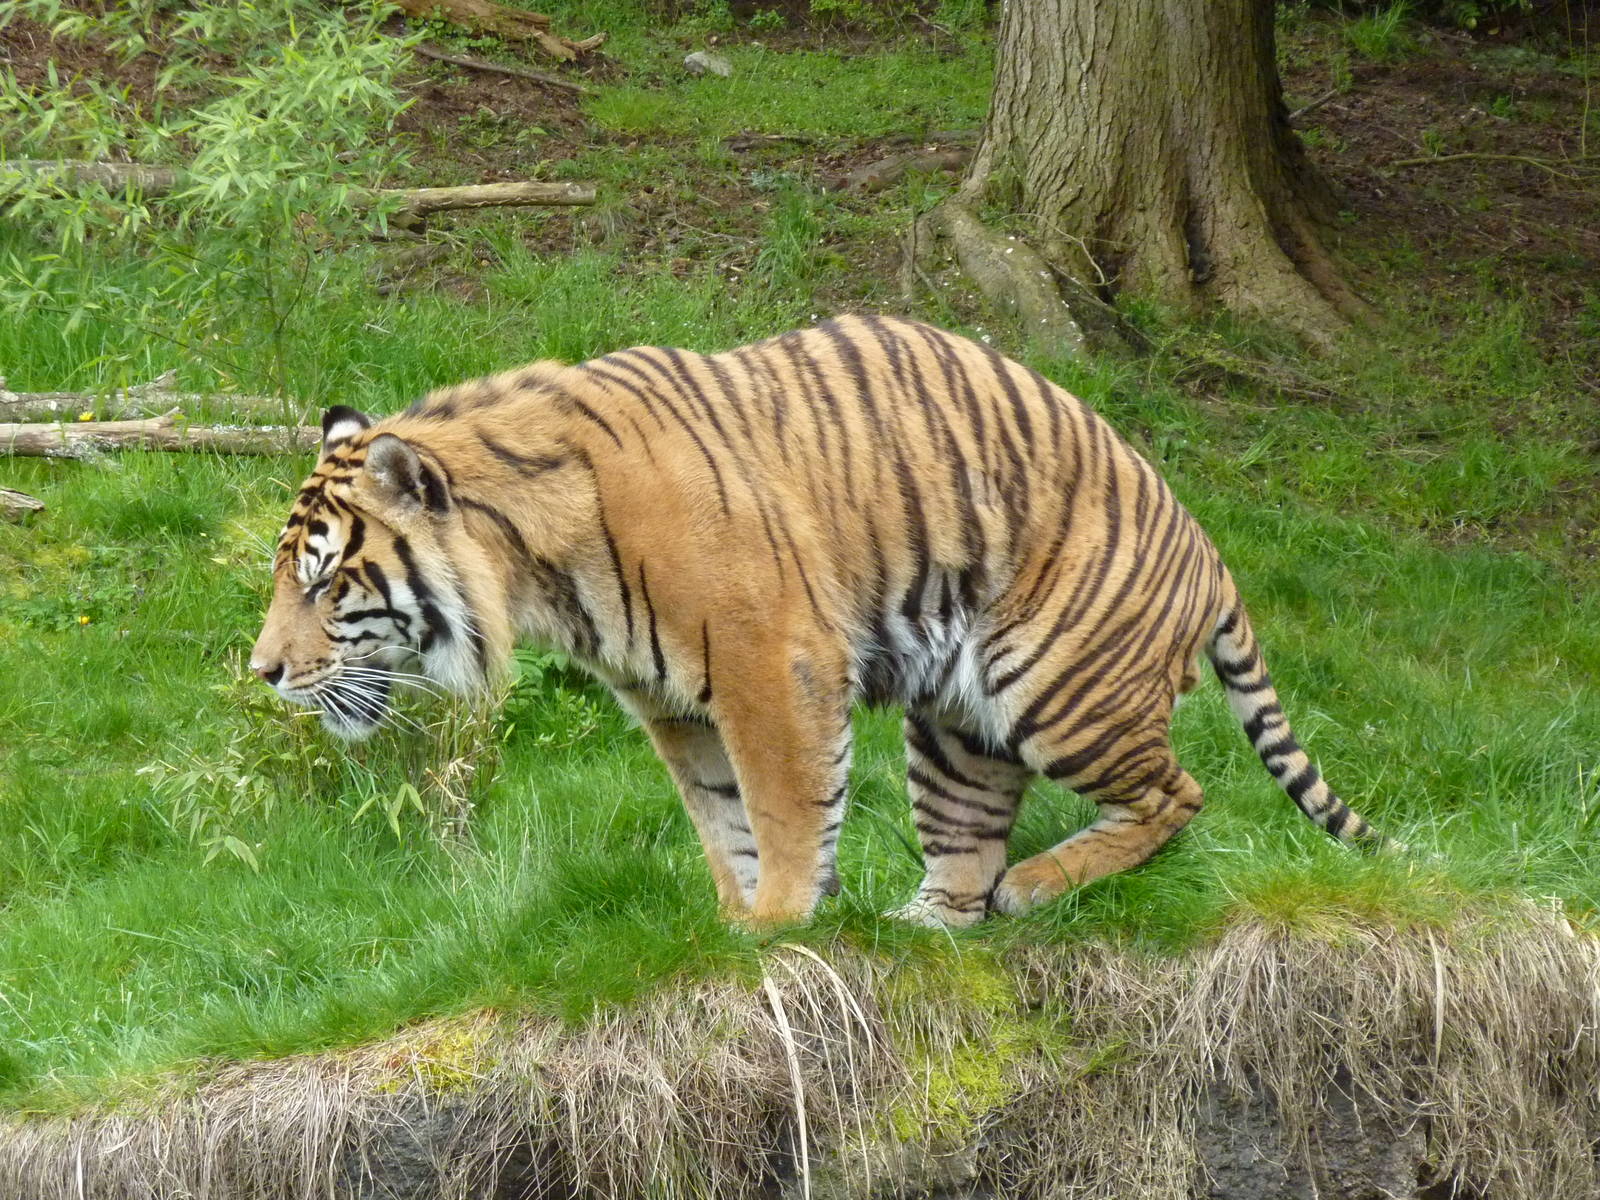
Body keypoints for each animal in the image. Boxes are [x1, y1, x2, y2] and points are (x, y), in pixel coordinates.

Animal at [250, 314, 1386, 927]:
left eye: (323, 580)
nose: (260, 672)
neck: (536, 571)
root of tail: (1211, 553)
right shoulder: (673, 704)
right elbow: (723, 818)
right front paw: (737, 923)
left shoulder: (770, 662)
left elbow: (787, 804)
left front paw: (783, 921)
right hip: (954, 725)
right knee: (966, 853)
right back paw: (921, 924)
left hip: (1053, 683)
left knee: (1176, 794)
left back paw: (1035, 885)